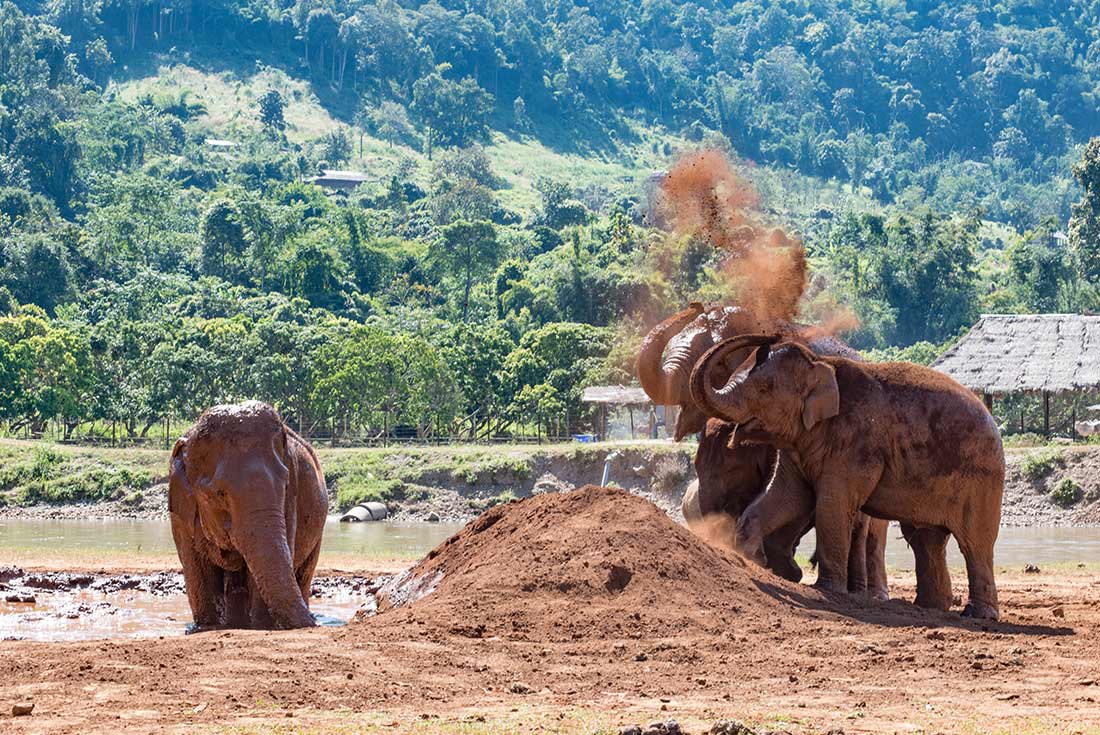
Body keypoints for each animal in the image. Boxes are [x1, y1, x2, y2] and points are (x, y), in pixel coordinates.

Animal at [168, 401, 328, 630]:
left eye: (286, 485)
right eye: (218, 494)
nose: (315, 624)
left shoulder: (290, 500)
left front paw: (263, 626)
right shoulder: (182, 512)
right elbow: (197, 569)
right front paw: (207, 627)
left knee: (304, 574)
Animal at [690, 334, 1005, 619]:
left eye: (765, 388)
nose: (767, 336)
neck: (821, 363)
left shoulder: (855, 444)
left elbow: (831, 506)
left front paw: (827, 590)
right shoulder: (797, 445)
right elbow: (786, 496)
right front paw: (752, 557)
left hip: (982, 479)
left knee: (974, 543)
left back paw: (978, 615)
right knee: (926, 540)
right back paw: (930, 607)